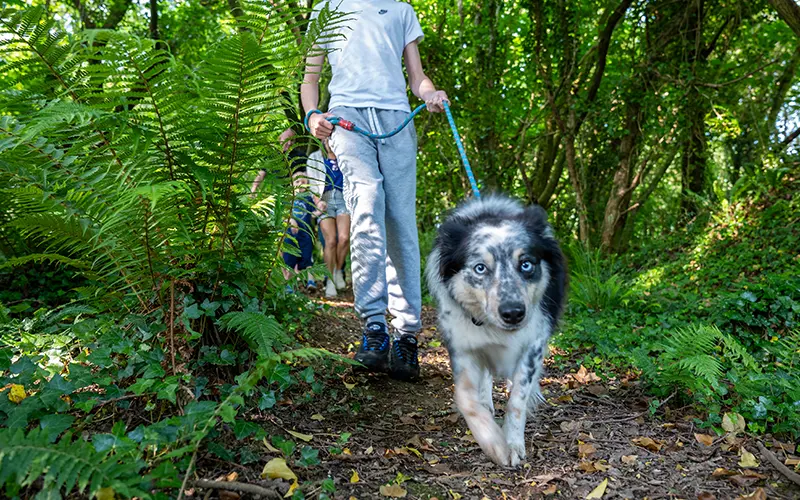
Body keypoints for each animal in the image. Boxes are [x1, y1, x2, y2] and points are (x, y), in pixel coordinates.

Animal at [428, 194, 564, 464]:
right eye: (480, 268)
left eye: (526, 264)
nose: (513, 313)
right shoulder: (462, 344)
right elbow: (466, 398)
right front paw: (494, 442)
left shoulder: (534, 343)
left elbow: (518, 399)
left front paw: (512, 442)